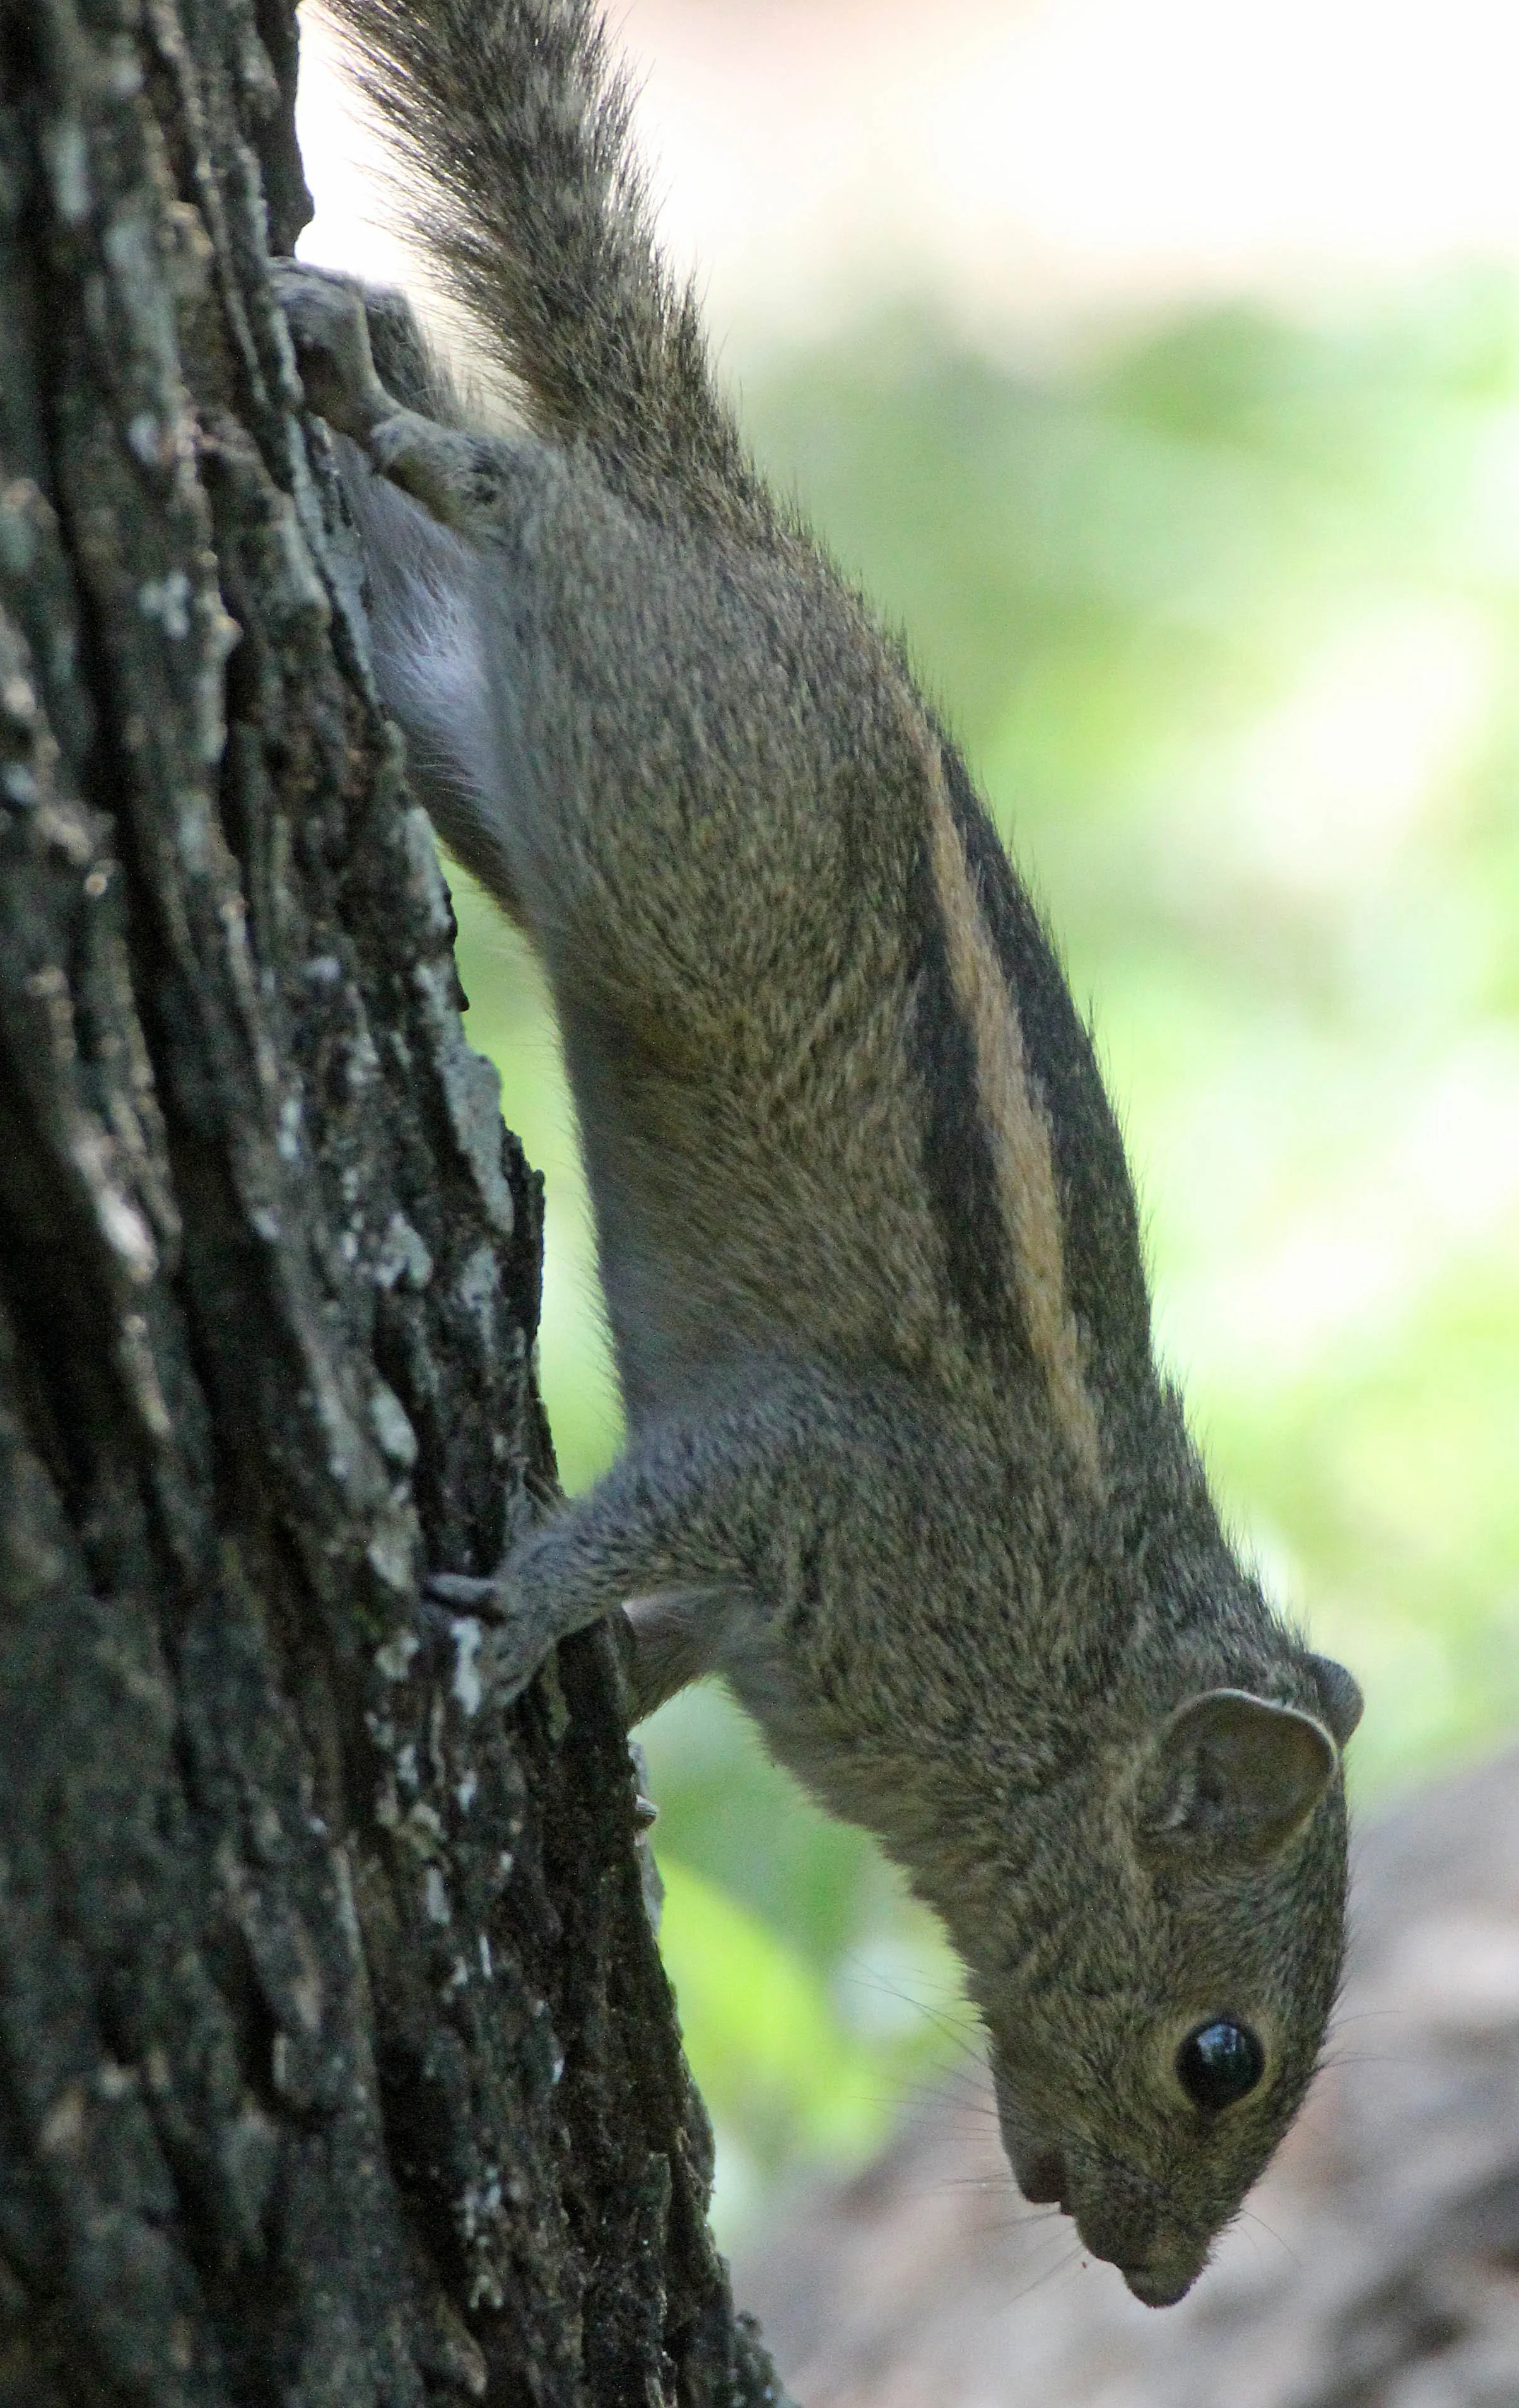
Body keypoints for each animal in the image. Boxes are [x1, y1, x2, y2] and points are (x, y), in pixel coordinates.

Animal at [273, 0, 1363, 2310]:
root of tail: (744, 524)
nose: (1156, 2285)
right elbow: (648, 1509)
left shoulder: (784, 1587)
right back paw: (413, 419)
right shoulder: (830, 1475)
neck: (1063, 1671)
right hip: (673, 754)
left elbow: (672, 1629)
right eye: (1218, 2053)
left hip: (502, 732)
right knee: (541, 499)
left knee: (475, 514)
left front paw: (593, 1695)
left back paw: (364, 359)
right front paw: (510, 1620)